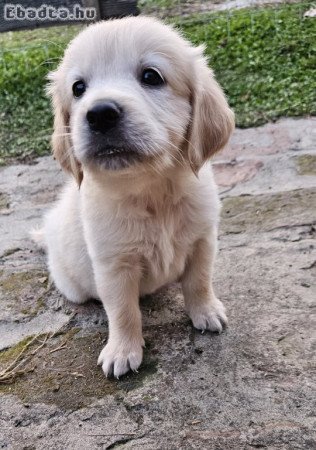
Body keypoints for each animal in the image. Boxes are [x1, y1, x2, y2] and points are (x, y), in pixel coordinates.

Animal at [40, 15, 235, 378]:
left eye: (151, 76)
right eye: (78, 88)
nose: (100, 113)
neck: (152, 192)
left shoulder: (203, 240)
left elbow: (199, 281)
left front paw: (206, 312)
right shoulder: (112, 266)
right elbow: (122, 311)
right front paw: (123, 350)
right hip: (72, 283)